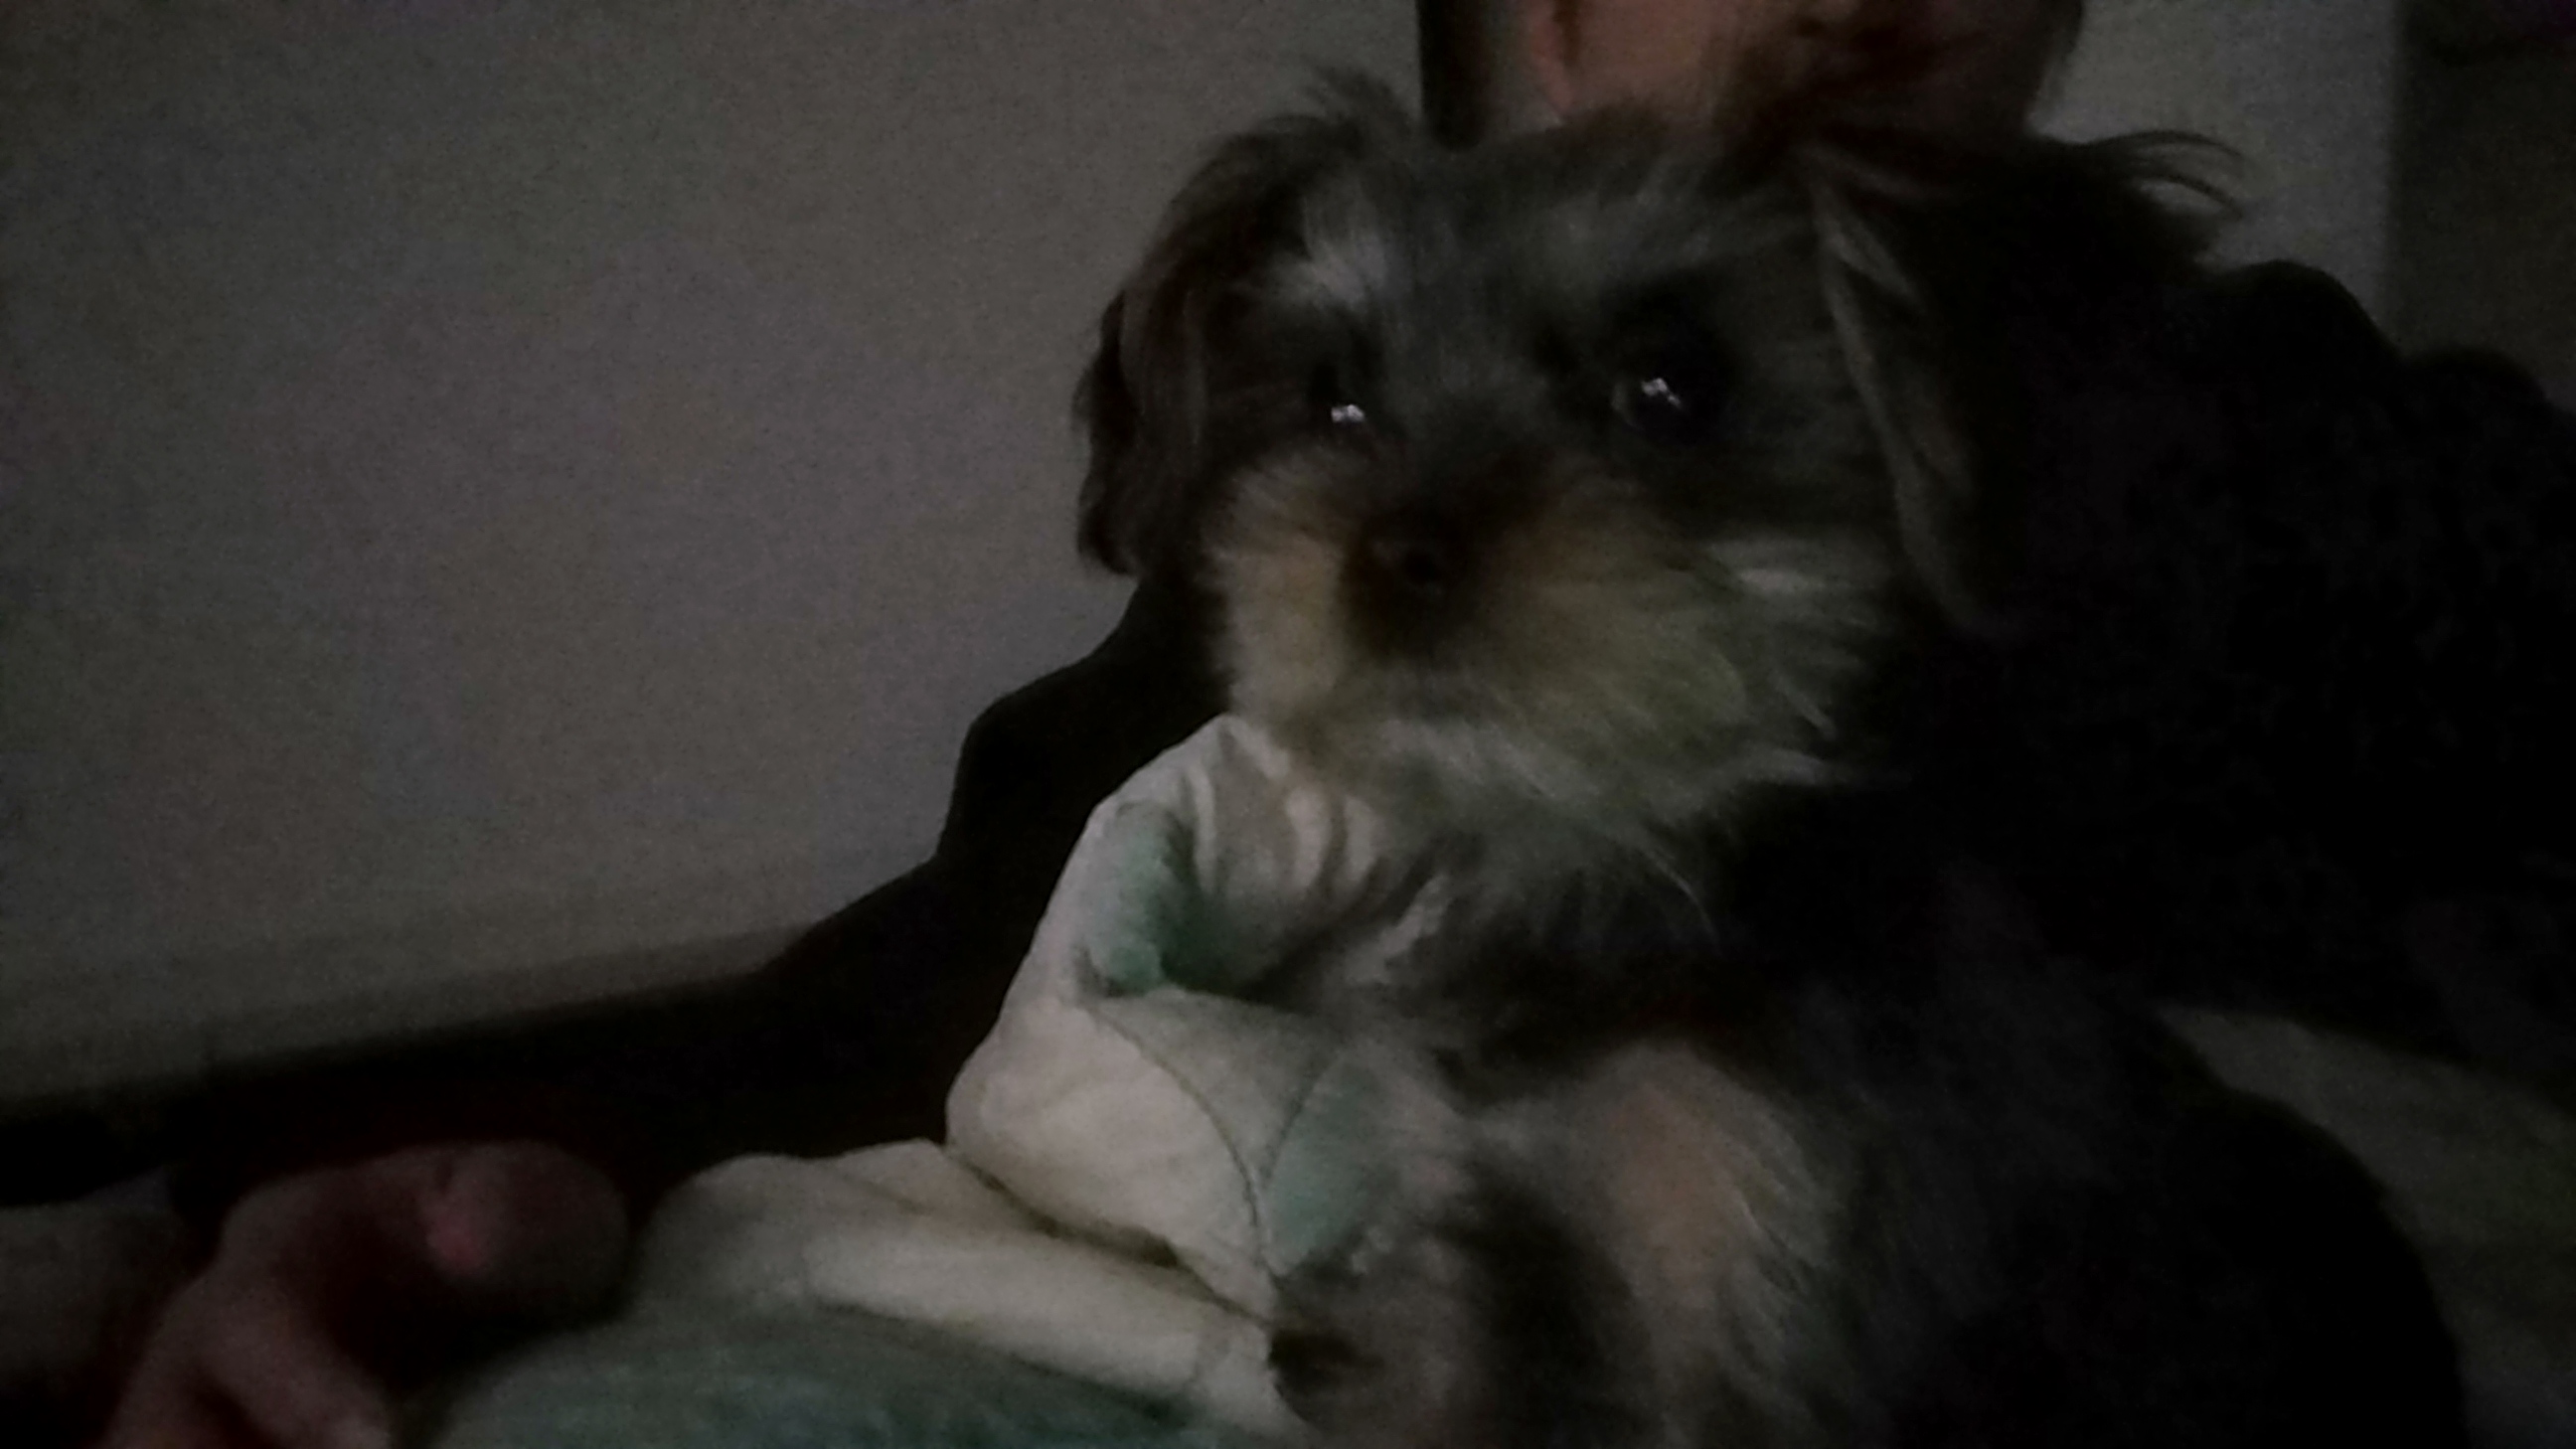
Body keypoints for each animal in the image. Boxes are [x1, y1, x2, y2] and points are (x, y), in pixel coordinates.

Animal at [1071, 78, 2466, 1449]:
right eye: (1333, 399)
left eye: (1674, 382)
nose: (1390, 555)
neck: (1631, 877)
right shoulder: (1482, 1256)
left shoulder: (1750, 1300)